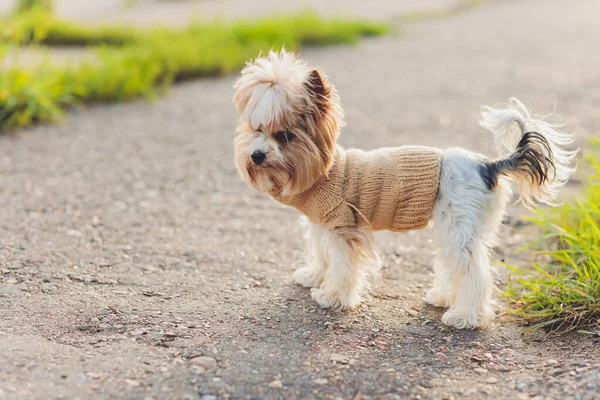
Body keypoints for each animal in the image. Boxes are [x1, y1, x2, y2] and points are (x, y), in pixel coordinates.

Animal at [231, 49, 576, 328]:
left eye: (285, 136)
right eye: (257, 130)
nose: (256, 155)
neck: (324, 173)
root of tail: (487, 165)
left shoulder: (345, 227)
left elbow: (342, 265)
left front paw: (333, 295)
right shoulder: (322, 224)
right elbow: (320, 252)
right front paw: (313, 276)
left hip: (458, 229)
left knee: (474, 273)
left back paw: (466, 317)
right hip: (459, 228)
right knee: (456, 265)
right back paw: (444, 298)